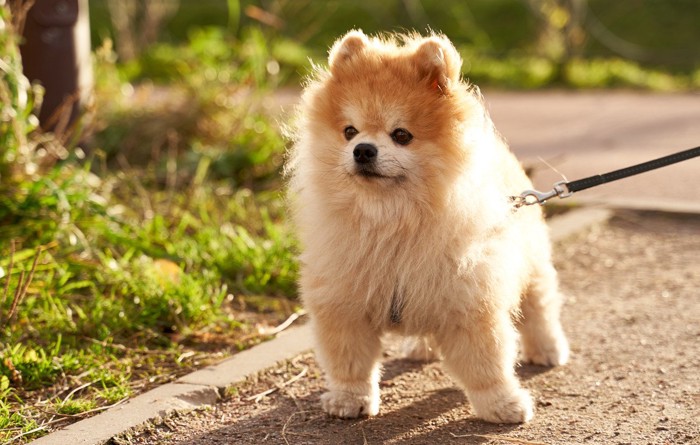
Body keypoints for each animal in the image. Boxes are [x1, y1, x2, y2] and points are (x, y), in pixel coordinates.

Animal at [284, 29, 568, 422]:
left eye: (402, 135)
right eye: (349, 131)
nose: (363, 150)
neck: (393, 221)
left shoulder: (470, 303)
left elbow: (487, 364)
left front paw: (502, 404)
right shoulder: (344, 302)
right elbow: (349, 363)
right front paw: (348, 400)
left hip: (533, 262)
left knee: (540, 307)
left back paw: (548, 349)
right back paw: (421, 348)